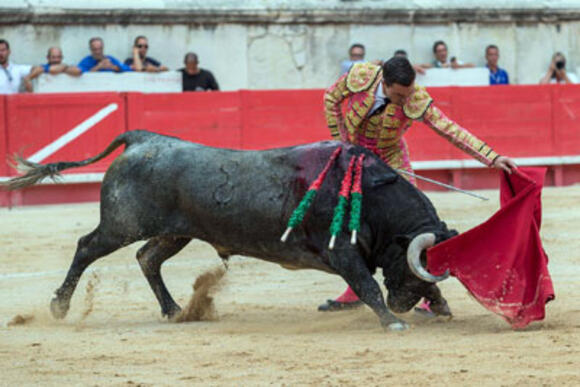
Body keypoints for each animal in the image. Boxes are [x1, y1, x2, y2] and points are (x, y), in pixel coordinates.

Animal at [2, 130, 460, 330]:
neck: (374, 198)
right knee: (86, 247)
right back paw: (59, 306)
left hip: (175, 232)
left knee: (148, 258)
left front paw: (439, 307)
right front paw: (391, 321)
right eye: (411, 264)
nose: (405, 304)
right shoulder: (343, 254)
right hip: (122, 225)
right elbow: (368, 286)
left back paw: (174, 310)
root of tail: (141, 138)